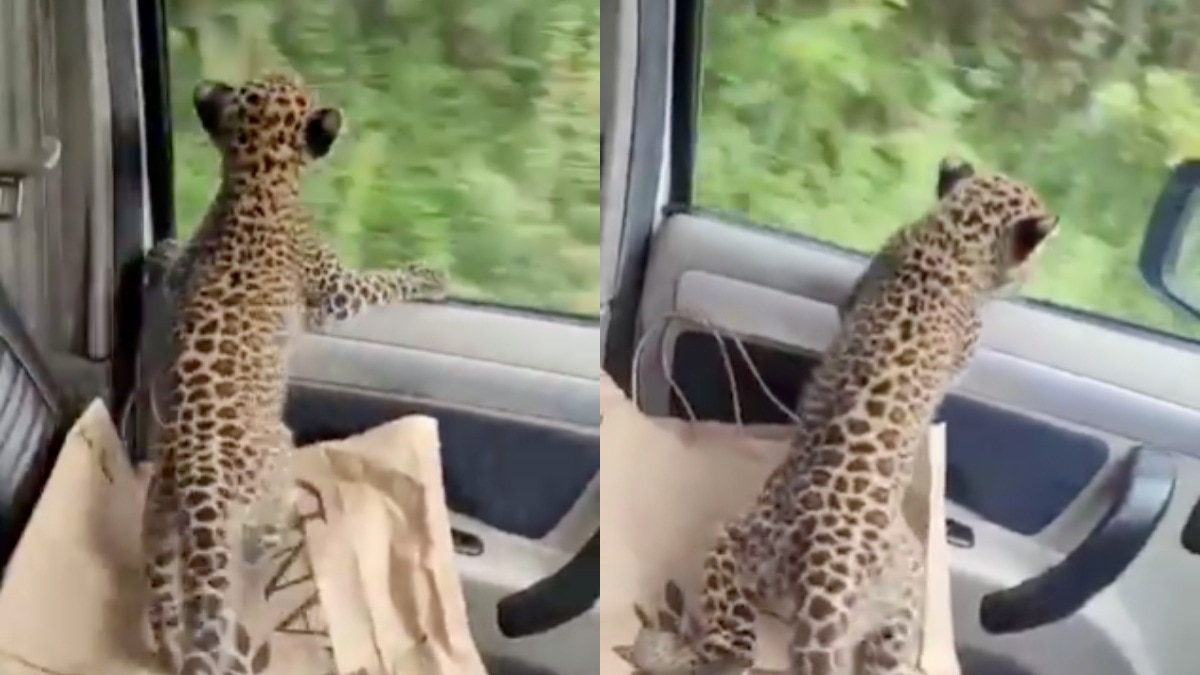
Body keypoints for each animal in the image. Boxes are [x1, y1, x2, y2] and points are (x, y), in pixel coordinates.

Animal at [140, 72, 449, 675]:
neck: (258, 176)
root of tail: (198, 468)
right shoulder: (335, 290)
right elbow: (383, 283)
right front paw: (426, 274)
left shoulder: (192, 262)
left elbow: (174, 266)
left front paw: (160, 252)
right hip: (276, 464)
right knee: (262, 533)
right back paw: (287, 532)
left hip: (159, 523)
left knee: (164, 600)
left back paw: (167, 643)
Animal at [613, 157, 1058, 675]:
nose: (1034, 274)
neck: (952, 239)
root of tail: (833, 562)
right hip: (883, 583)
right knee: (758, 651)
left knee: (740, 649)